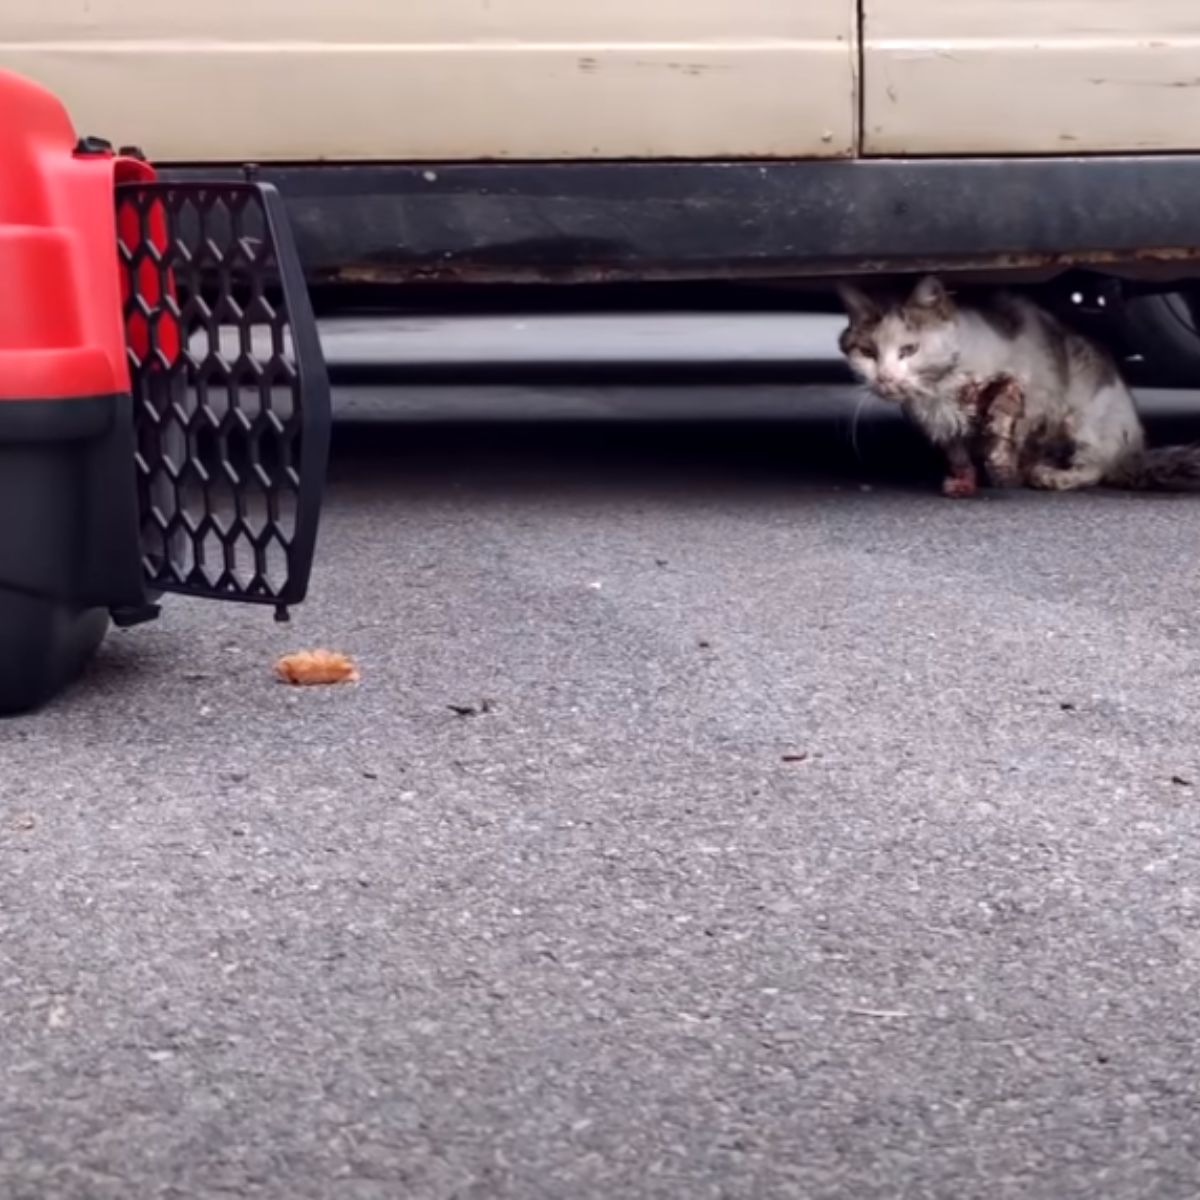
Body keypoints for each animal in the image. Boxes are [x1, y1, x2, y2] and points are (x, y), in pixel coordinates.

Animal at [835, 274, 1200, 494]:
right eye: (868, 352)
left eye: (909, 350)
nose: (885, 377)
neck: (939, 390)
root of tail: (1134, 446)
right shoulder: (941, 425)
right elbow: (957, 452)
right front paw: (964, 478)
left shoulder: (1033, 387)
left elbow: (1012, 425)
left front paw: (1004, 462)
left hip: (1089, 418)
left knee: (1096, 466)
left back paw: (1053, 474)